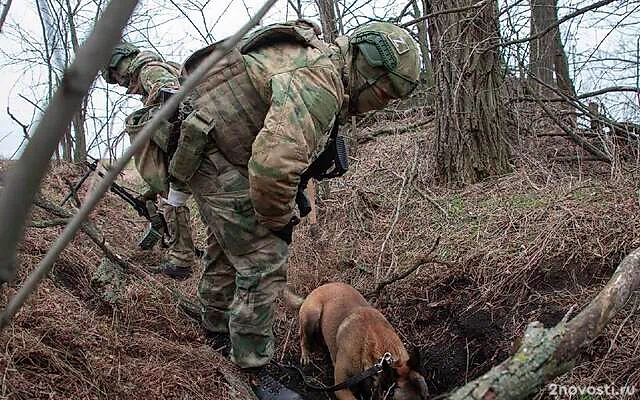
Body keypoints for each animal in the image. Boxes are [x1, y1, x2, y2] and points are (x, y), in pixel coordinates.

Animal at [284, 282, 430, 400]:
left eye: (427, 398)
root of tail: (314, 290)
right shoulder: (342, 388)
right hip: (311, 317)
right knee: (303, 338)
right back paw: (306, 355)